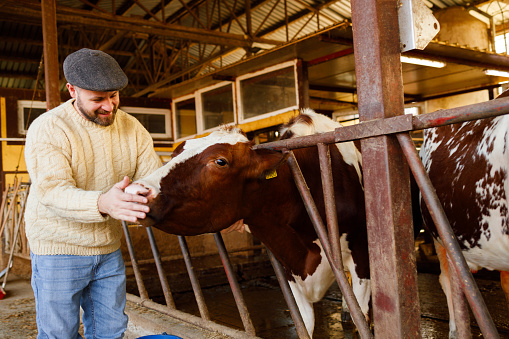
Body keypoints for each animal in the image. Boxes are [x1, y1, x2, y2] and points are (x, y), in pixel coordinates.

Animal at [125, 110, 372, 338]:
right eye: (176, 152)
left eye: (221, 161)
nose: (135, 190)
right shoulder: (289, 266)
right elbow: (305, 326)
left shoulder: (361, 254)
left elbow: (361, 317)